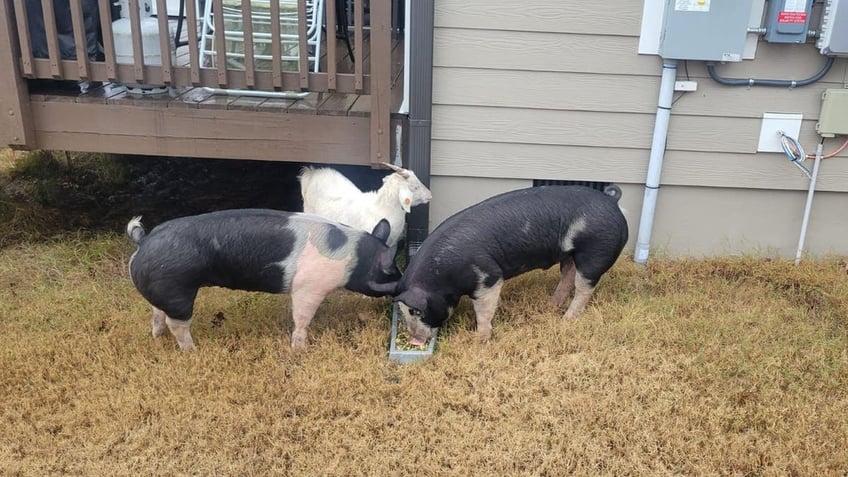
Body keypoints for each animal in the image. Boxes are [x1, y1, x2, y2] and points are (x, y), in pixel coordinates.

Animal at [127, 208, 402, 350]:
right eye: (391, 272)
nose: (401, 285)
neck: (357, 258)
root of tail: (143, 241)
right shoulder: (308, 287)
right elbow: (301, 318)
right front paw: (300, 349)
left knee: (157, 313)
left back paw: (157, 337)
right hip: (177, 290)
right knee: (176, 323)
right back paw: (192, 350)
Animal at [394, 184, 628, 344]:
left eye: (416, 312)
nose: (415, 340)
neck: (441, 277)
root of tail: (612, 202)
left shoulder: (488, 278)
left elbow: (484, 311)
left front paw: (481, 339)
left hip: (595, 253)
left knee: (584, 288)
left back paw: (566, 319)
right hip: (570, 254)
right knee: (568, 275)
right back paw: (552, 304)